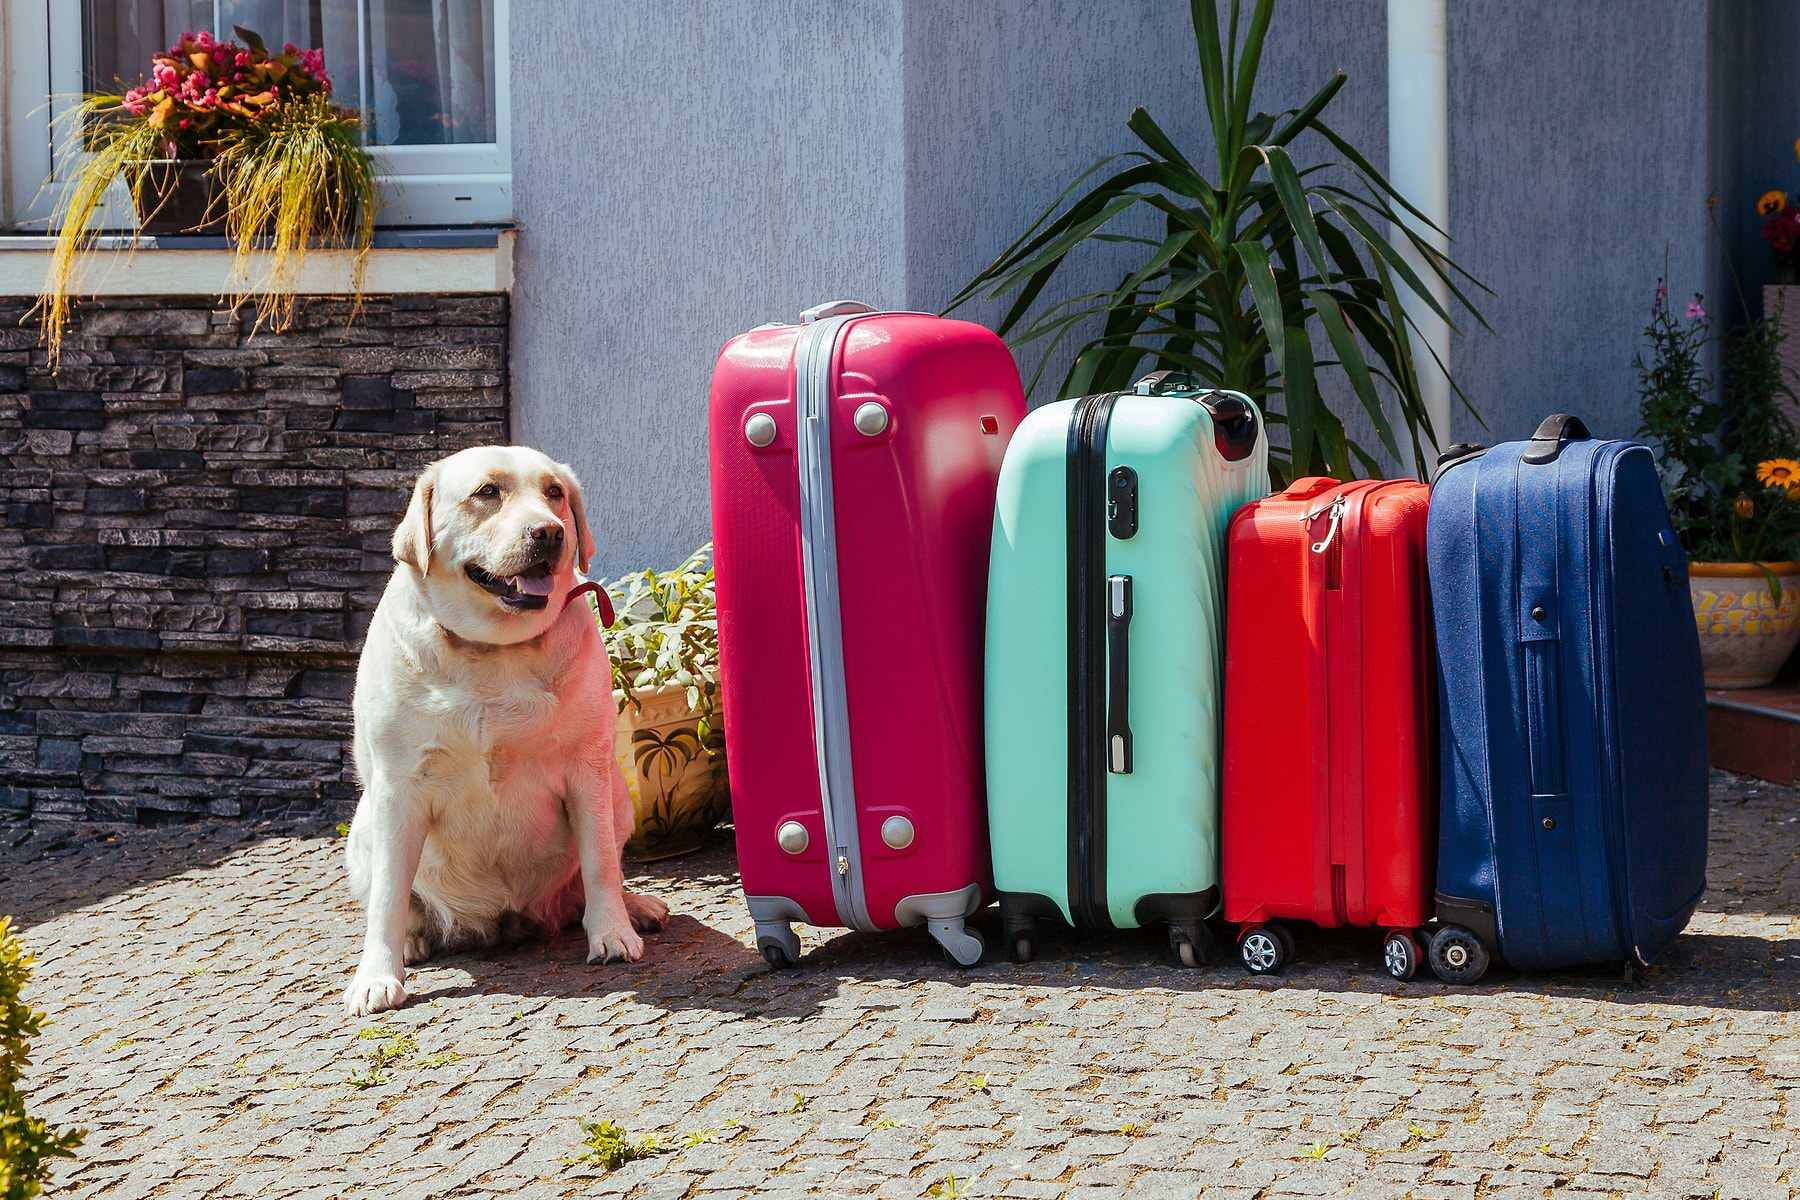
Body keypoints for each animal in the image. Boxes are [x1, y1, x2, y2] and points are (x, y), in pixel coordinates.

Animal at [343, 446, 669, 1021]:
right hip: (362, 829)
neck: (493, 652)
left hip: (618, 796)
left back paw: (634, 908)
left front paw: (611, 932)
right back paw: (412, 940)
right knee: (398, 896)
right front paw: (377, 975)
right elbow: (388, 896)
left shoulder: (587, 768)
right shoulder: (397, 787)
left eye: (554, 492)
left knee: (595, 874)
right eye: (487, 492)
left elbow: (601, 864)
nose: (550, 533)